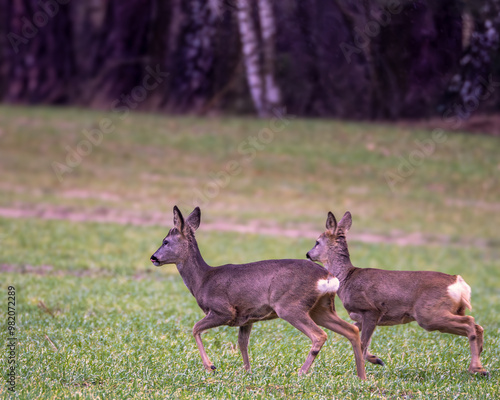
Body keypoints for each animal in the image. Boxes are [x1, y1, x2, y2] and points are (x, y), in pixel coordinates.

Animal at [150, 206, 366, 378]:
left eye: (165, 241)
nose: (153, 257)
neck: (202, 280)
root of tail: (328, 276)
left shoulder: (223, 310)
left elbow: (195, 328)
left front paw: (210, 366)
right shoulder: (247, 318)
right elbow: (242, 344)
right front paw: (247, 372)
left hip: (290, 306)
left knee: (319, 335)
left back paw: (301, 373)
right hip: (321, 308)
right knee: (352, 330)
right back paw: (361, 376)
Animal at [306, 211, 486, 376]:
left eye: (317, 242)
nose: (308, 254)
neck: (347, 279)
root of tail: (458, 283)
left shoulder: (371, 310)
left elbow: (363, 342)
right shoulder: (361, 317)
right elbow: (358, 335)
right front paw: (376, 359)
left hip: (428, 314)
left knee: (470, 322)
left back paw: (477, 369)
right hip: (452, 310)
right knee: (478, 326)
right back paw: (480, 366)